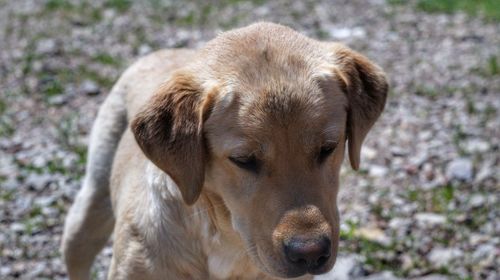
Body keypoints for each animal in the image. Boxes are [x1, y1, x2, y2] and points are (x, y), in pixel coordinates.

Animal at [62, 22, 388, 280]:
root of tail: (161, 51)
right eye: (243, 160)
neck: (227, 244)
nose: (310, 254)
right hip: (86, 214)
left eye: (328, 148)